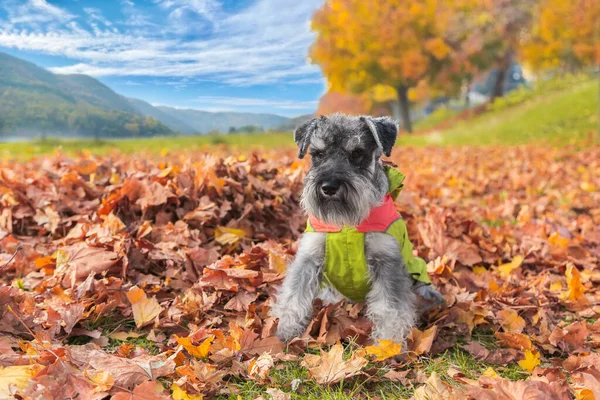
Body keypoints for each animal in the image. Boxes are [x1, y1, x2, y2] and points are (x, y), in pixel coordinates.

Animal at [270, 113, 440, 344]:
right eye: (318, 154)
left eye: (357, 153)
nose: (329, 187)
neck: (347, 225)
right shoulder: (309, 257)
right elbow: (294, 295)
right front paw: (286, 330)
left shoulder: (387, 262)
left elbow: (390, 309)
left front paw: (389, 343)